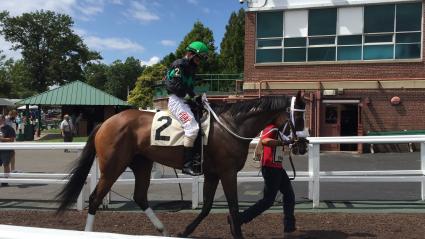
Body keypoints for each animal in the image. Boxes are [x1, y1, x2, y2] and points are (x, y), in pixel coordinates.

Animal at [56, 90, 306, 238]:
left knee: (140, 196)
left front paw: (186, 231)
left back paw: (162, 229)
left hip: (142, 163)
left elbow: (206, 207)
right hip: (112, 166)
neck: (231, 125)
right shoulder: (227, 172)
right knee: (95, 198)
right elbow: (234, 208)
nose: (302, 145)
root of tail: (106, 122)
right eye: (299, 116)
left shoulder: (213, 173)